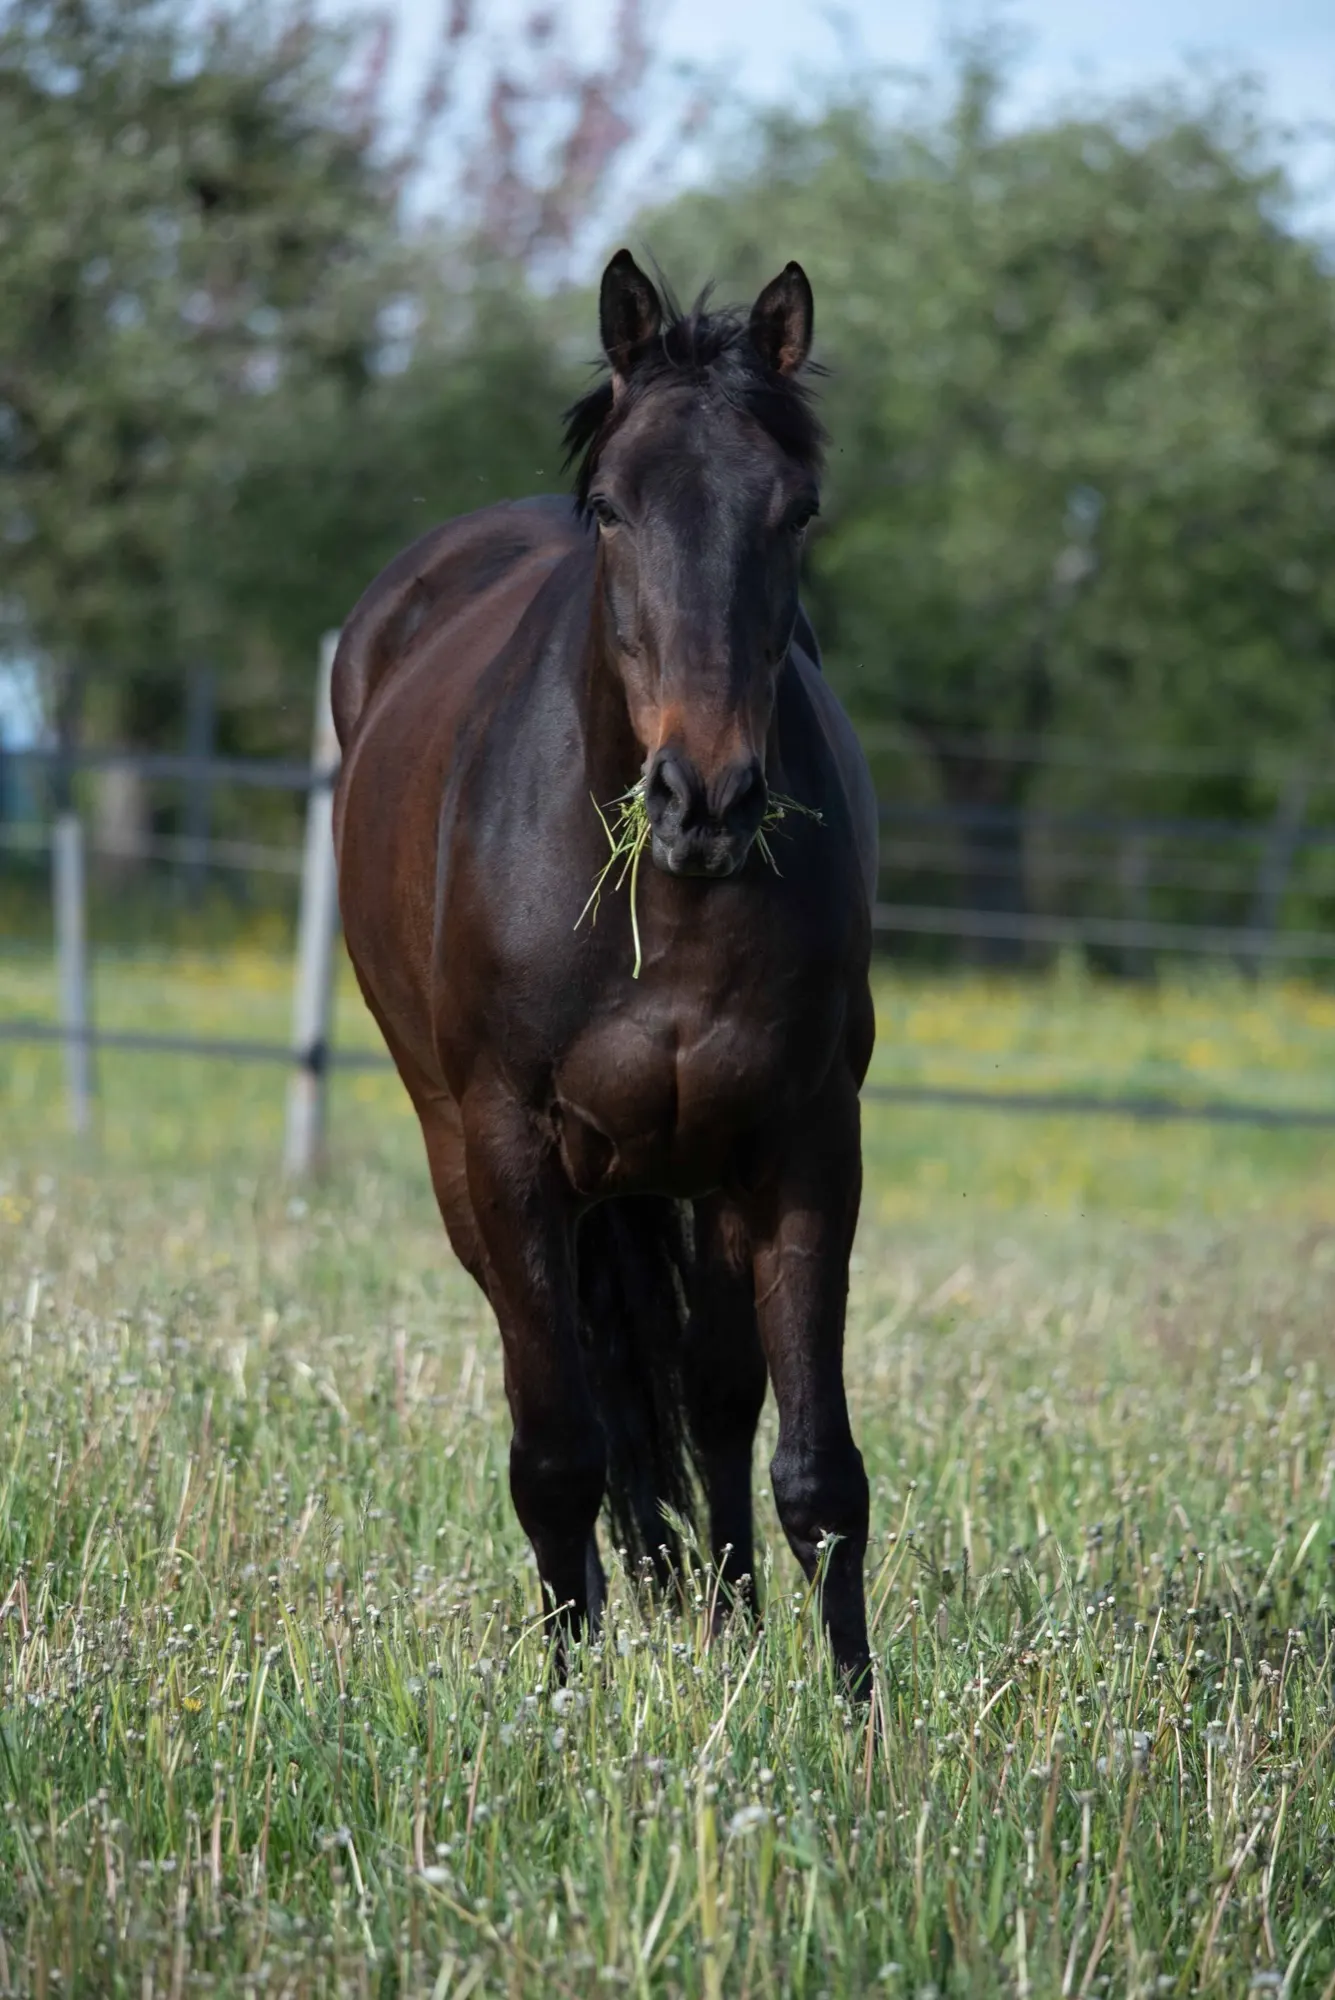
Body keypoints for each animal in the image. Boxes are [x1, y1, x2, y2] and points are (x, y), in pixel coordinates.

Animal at [332, 251, 878, 1691]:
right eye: (612, 508)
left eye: (795, 509)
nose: (706, 797)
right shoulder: (512, 1151)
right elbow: (559, 1455)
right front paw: (562, 1701)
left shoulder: (803, 1144)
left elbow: (817, 1471)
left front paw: (856, 1717)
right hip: (470, 1170)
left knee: (714, 1399)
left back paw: (727, 1626)